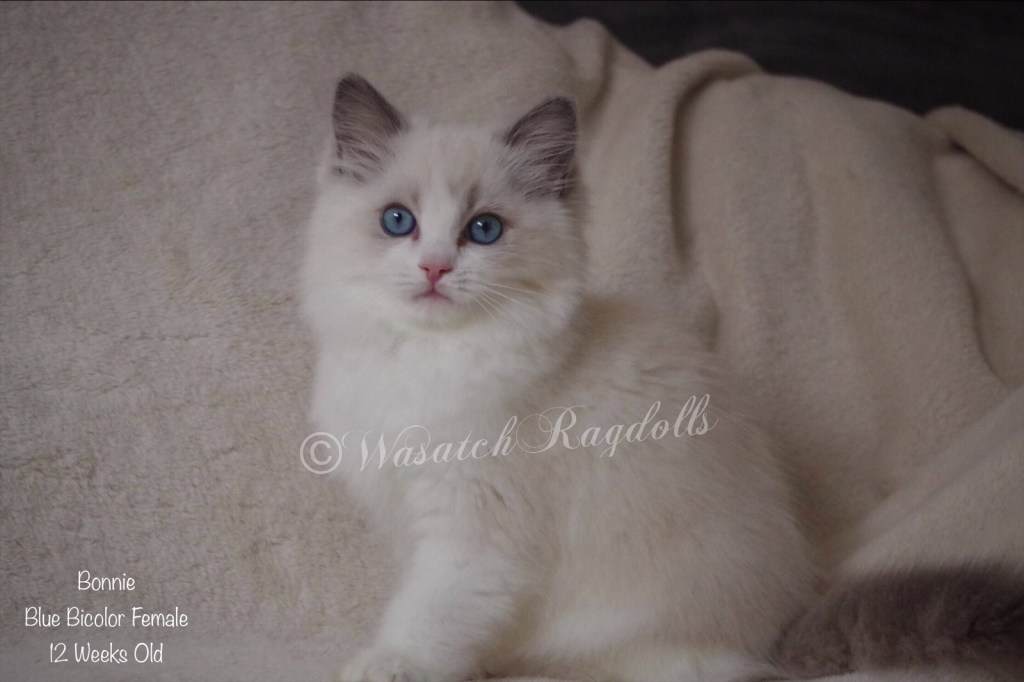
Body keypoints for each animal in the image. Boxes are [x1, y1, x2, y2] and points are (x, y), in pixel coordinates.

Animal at [302, 73, 814, 682]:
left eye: (484, 230)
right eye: (398, 221)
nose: (435, 267)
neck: (430, 357)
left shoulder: (475, 531)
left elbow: (431, 613)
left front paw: (393, 663)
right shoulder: (406, 510)